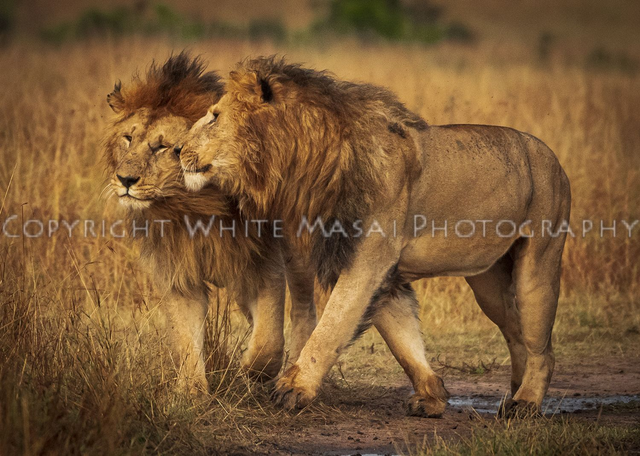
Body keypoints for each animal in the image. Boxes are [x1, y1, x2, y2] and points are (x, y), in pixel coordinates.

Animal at [103, 53, 317, 393]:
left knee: (304, 311)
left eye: (162, 147)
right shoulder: (180, 274)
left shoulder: (264, 264)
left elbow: (269, 339)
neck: (196, 208)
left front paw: (254, 371)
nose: (124, 179)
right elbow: (187, 339)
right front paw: (191, 391)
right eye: (128, 138)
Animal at [177, 56, 571, 417]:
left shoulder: (366, 261)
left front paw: (293, 388)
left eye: (214, 117)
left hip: (539, 263)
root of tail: (552, 157)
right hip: (488, 282)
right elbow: (402, 339)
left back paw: (526, 402)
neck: (302, 166)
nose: (178, 149)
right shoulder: (379, 271)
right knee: (516, 331)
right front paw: (432, 396)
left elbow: (332, 326)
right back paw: (515, 391)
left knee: (542, 346)